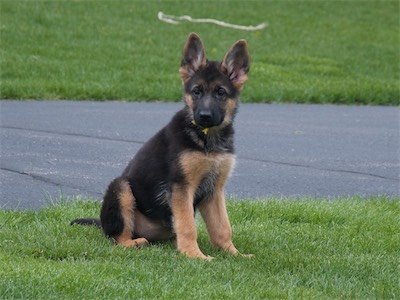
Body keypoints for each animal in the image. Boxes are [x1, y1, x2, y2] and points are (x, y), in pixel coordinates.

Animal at [72, 31, 250, 258]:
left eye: (221, 92)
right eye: (196, 91)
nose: (204, 116)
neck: (206, 138)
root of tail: (102, 224)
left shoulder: (214, 190)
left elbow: (222, 227)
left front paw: (234, 254)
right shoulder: (181, 187)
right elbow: (188, 225)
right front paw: (194, 255)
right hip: (120, 188)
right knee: (117, 238)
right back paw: (134, 243)